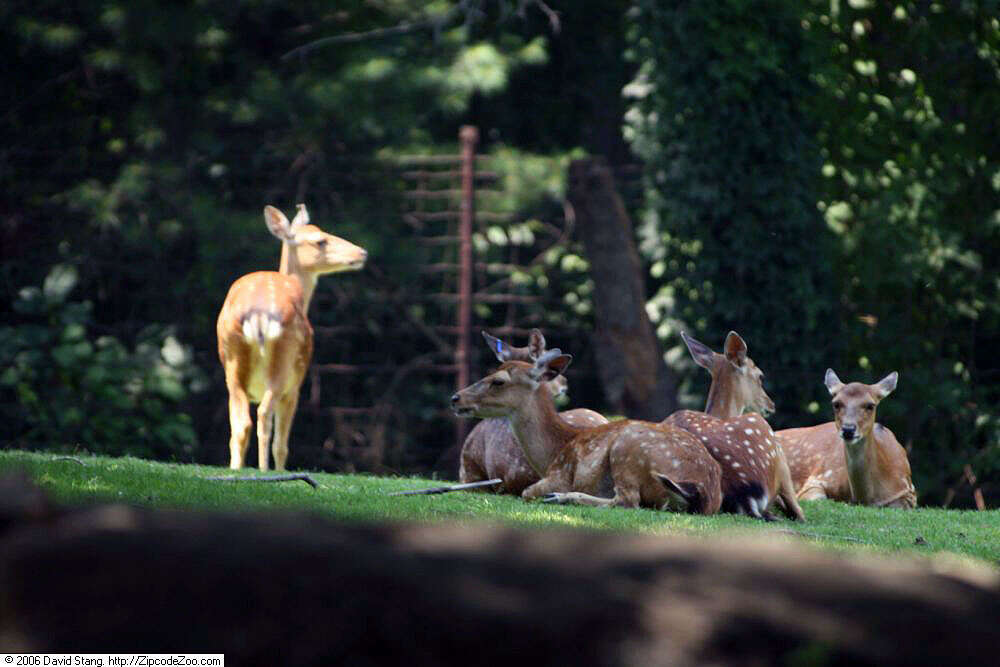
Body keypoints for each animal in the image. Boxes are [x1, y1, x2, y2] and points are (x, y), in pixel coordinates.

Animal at [215, 206, 368, 472]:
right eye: (320, 240)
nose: (361, 252)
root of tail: (258, 314)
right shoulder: (295, 387)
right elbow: (282, 443)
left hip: (232, 363)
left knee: (241, 424)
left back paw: (237, 469)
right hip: (284, 363)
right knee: (265, 416)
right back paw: (265, 470)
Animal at [452, 352, 720, 516]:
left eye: (498, 381)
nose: (456, 398)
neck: (554, 452)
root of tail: (703, 491)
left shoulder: (560, 474)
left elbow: (527, 492)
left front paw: (554, 495)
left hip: (628, 449)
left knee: (627, 501)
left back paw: (561, 497)